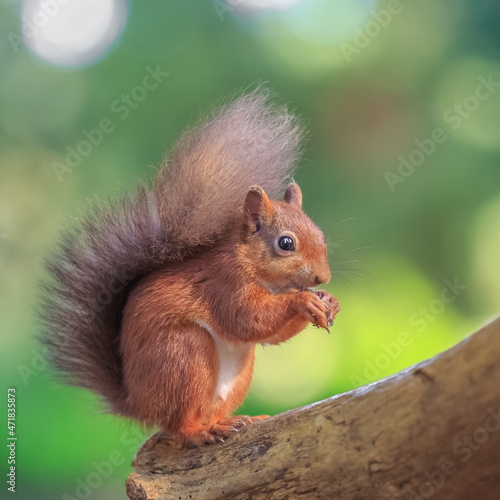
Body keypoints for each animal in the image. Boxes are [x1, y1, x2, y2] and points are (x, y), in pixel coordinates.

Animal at [42, 91, 340, 446]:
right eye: (285, 243)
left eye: (320, 234)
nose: (323, 277)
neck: (259, 272)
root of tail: (137, 404)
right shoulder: (224, 283)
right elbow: (247, 319)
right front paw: (303, 300)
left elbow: (271, 335)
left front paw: (329, 301)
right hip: (184, 355)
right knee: (179, 425)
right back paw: (202, 431)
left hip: (237, 373)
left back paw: (231, 421)